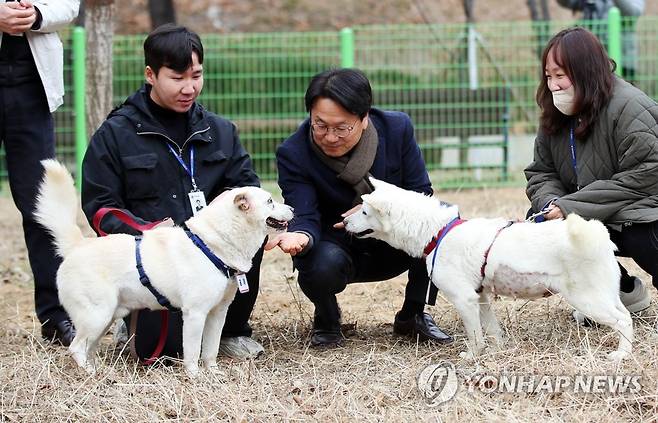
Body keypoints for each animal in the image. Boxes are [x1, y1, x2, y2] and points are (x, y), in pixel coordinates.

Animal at [32, 161, 292, 376]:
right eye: (270, 201)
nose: (291, 208)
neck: (211, 244)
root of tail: (78, 246)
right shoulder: (195, 314)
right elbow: (192, 352)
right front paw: (195, 377)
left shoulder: (217, 313)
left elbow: (210, 350)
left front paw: (213, 373)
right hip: (96, 315)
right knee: (76, 348)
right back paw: (90, 373)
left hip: (105, 316)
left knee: (89, 347)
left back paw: (99, 370)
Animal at [344, 178, 632, 362]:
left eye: (365, 212)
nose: (344, 221)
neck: (439, 232)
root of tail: (598, 236)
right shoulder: (480, 297)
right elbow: (493, 330)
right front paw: (498, 352)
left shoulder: (465, 300)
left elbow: (475, 336)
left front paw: (473, 357)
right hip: (604, 295)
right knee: (625, 314)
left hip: (587, 300)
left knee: (623, 321)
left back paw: (622, 354)